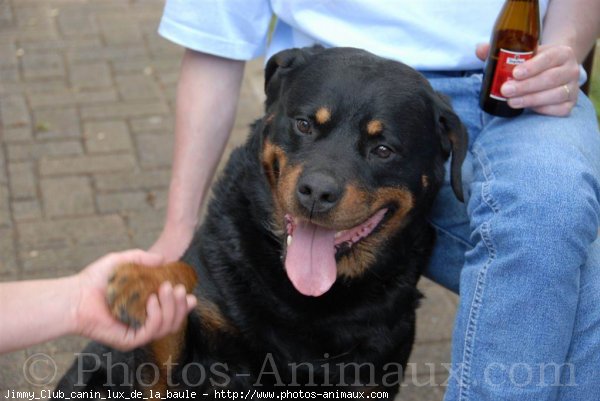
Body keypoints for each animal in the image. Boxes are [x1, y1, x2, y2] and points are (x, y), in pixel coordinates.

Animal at [54, 46, 466, 396]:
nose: (316, 191)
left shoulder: (370, 375)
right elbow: (180, 293)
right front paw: (145, 282)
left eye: (383, 150)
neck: (307, 300)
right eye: (304, 124)